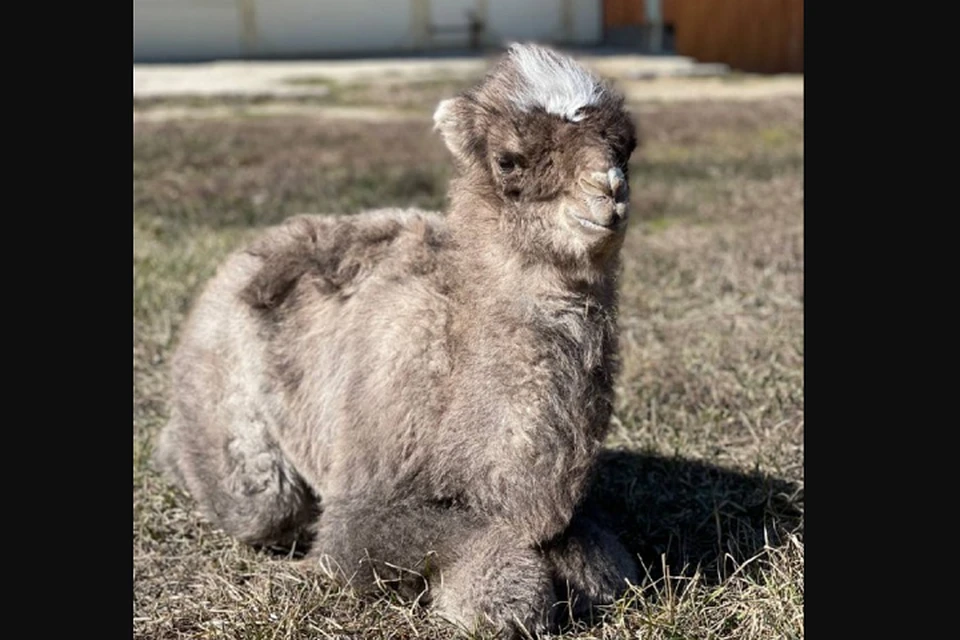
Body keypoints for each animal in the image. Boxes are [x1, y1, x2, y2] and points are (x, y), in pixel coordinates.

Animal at [154, 42, 640, 636]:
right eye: (509, 159)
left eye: (626, 146)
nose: (609, 191)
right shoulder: (364, 504)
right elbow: (441, 555)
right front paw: (495, 595)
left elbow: (609, 567)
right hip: (224, 392)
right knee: (258, 501)